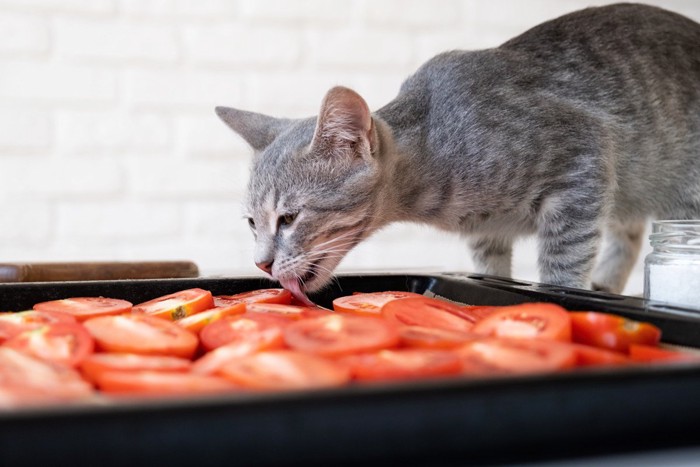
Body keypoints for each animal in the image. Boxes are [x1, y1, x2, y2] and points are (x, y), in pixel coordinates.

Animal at [217, 2, 700, 304]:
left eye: (289, 218)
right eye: (251, 223)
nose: (261, 263)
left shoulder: (583, 156)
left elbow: (563, 264)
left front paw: (558, 292)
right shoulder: (487, 235)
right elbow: (493, 272)